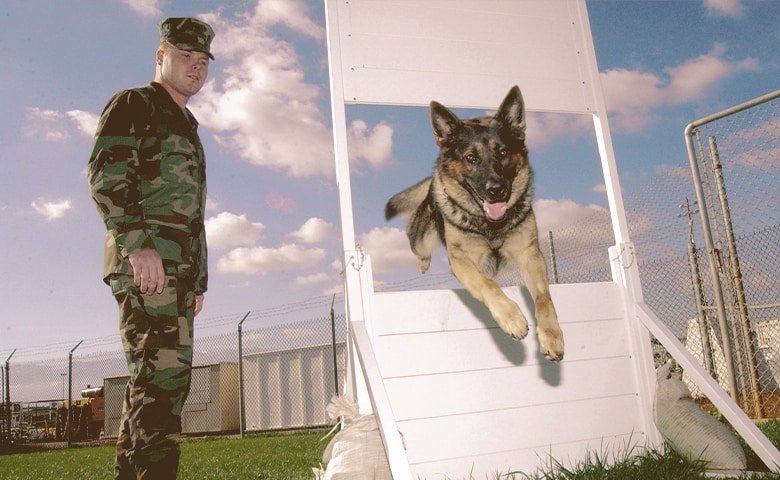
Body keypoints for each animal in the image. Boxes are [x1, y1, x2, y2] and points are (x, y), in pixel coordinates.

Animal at [386, 86, 564, 362]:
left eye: (503, 152)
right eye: (471, 158)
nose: (496, 190)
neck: (491, 225)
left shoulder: (530, 255)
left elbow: (544, 298)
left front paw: (552, 337)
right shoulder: (461, 261)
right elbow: (486, 283)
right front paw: (511, 316)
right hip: (422, 239)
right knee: (414, 240)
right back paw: (422, 262)